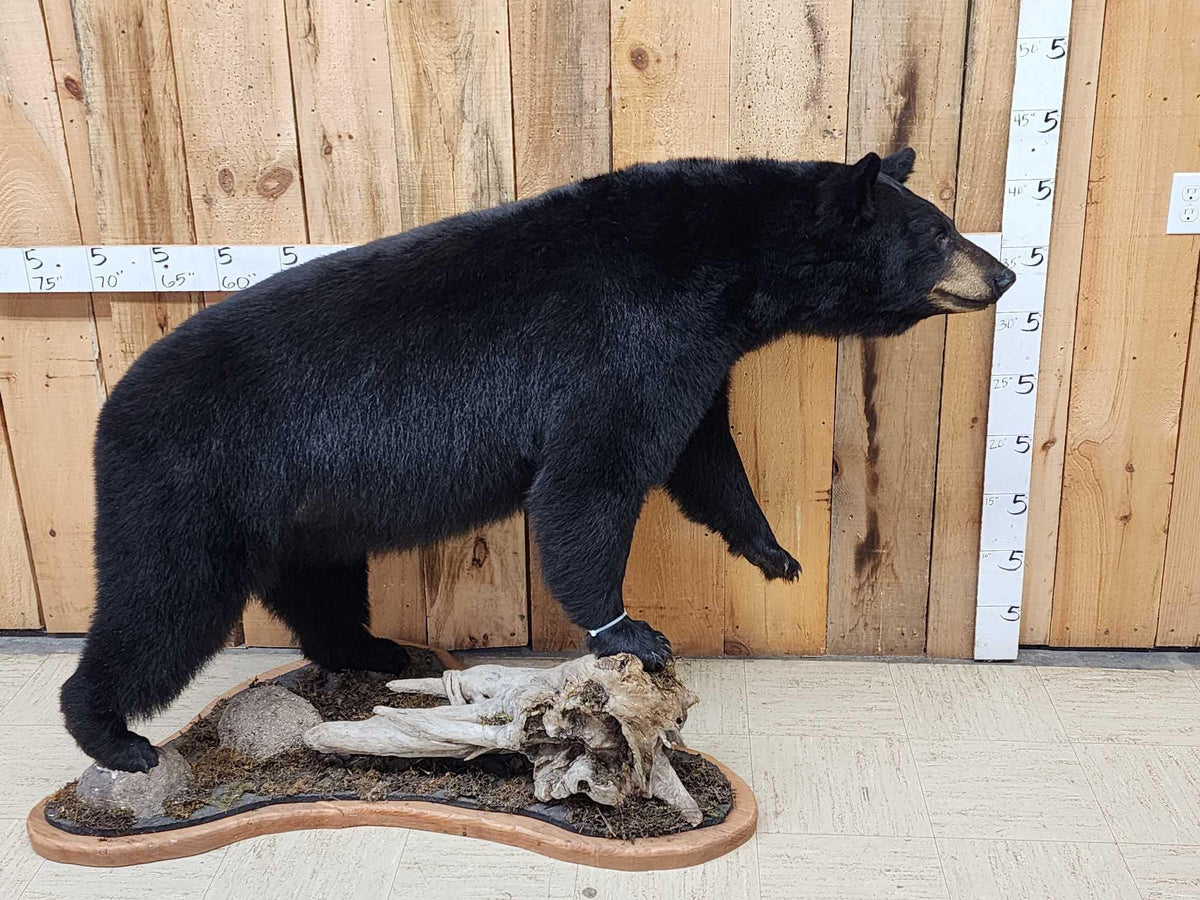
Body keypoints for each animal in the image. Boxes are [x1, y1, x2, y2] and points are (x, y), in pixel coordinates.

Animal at [61, 148, 1014, 772]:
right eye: (939, 232)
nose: (1003, 273)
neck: (723, 267)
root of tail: (109, 413)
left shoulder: (693, 354)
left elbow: (704, 454)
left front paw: (772, 552)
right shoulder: (625, 342)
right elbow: (592, 479)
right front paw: (628, 630)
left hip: (303, 509)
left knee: (318, 583)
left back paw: (379, 649)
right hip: (193, 482)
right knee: (160, 602)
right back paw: (113, 735)